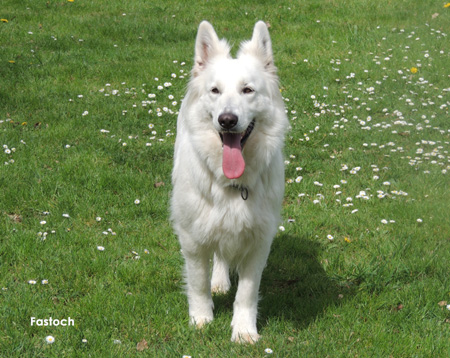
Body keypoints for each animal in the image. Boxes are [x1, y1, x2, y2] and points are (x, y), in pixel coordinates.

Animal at [171, 20, 290, 344]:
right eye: (215, 91)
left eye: (247, 90)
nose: (227, 120)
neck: (232, 183)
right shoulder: (192, 238)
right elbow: (198, 282)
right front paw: (201, 320)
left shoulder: (259, 240)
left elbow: (247, 293)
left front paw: (244, 330)